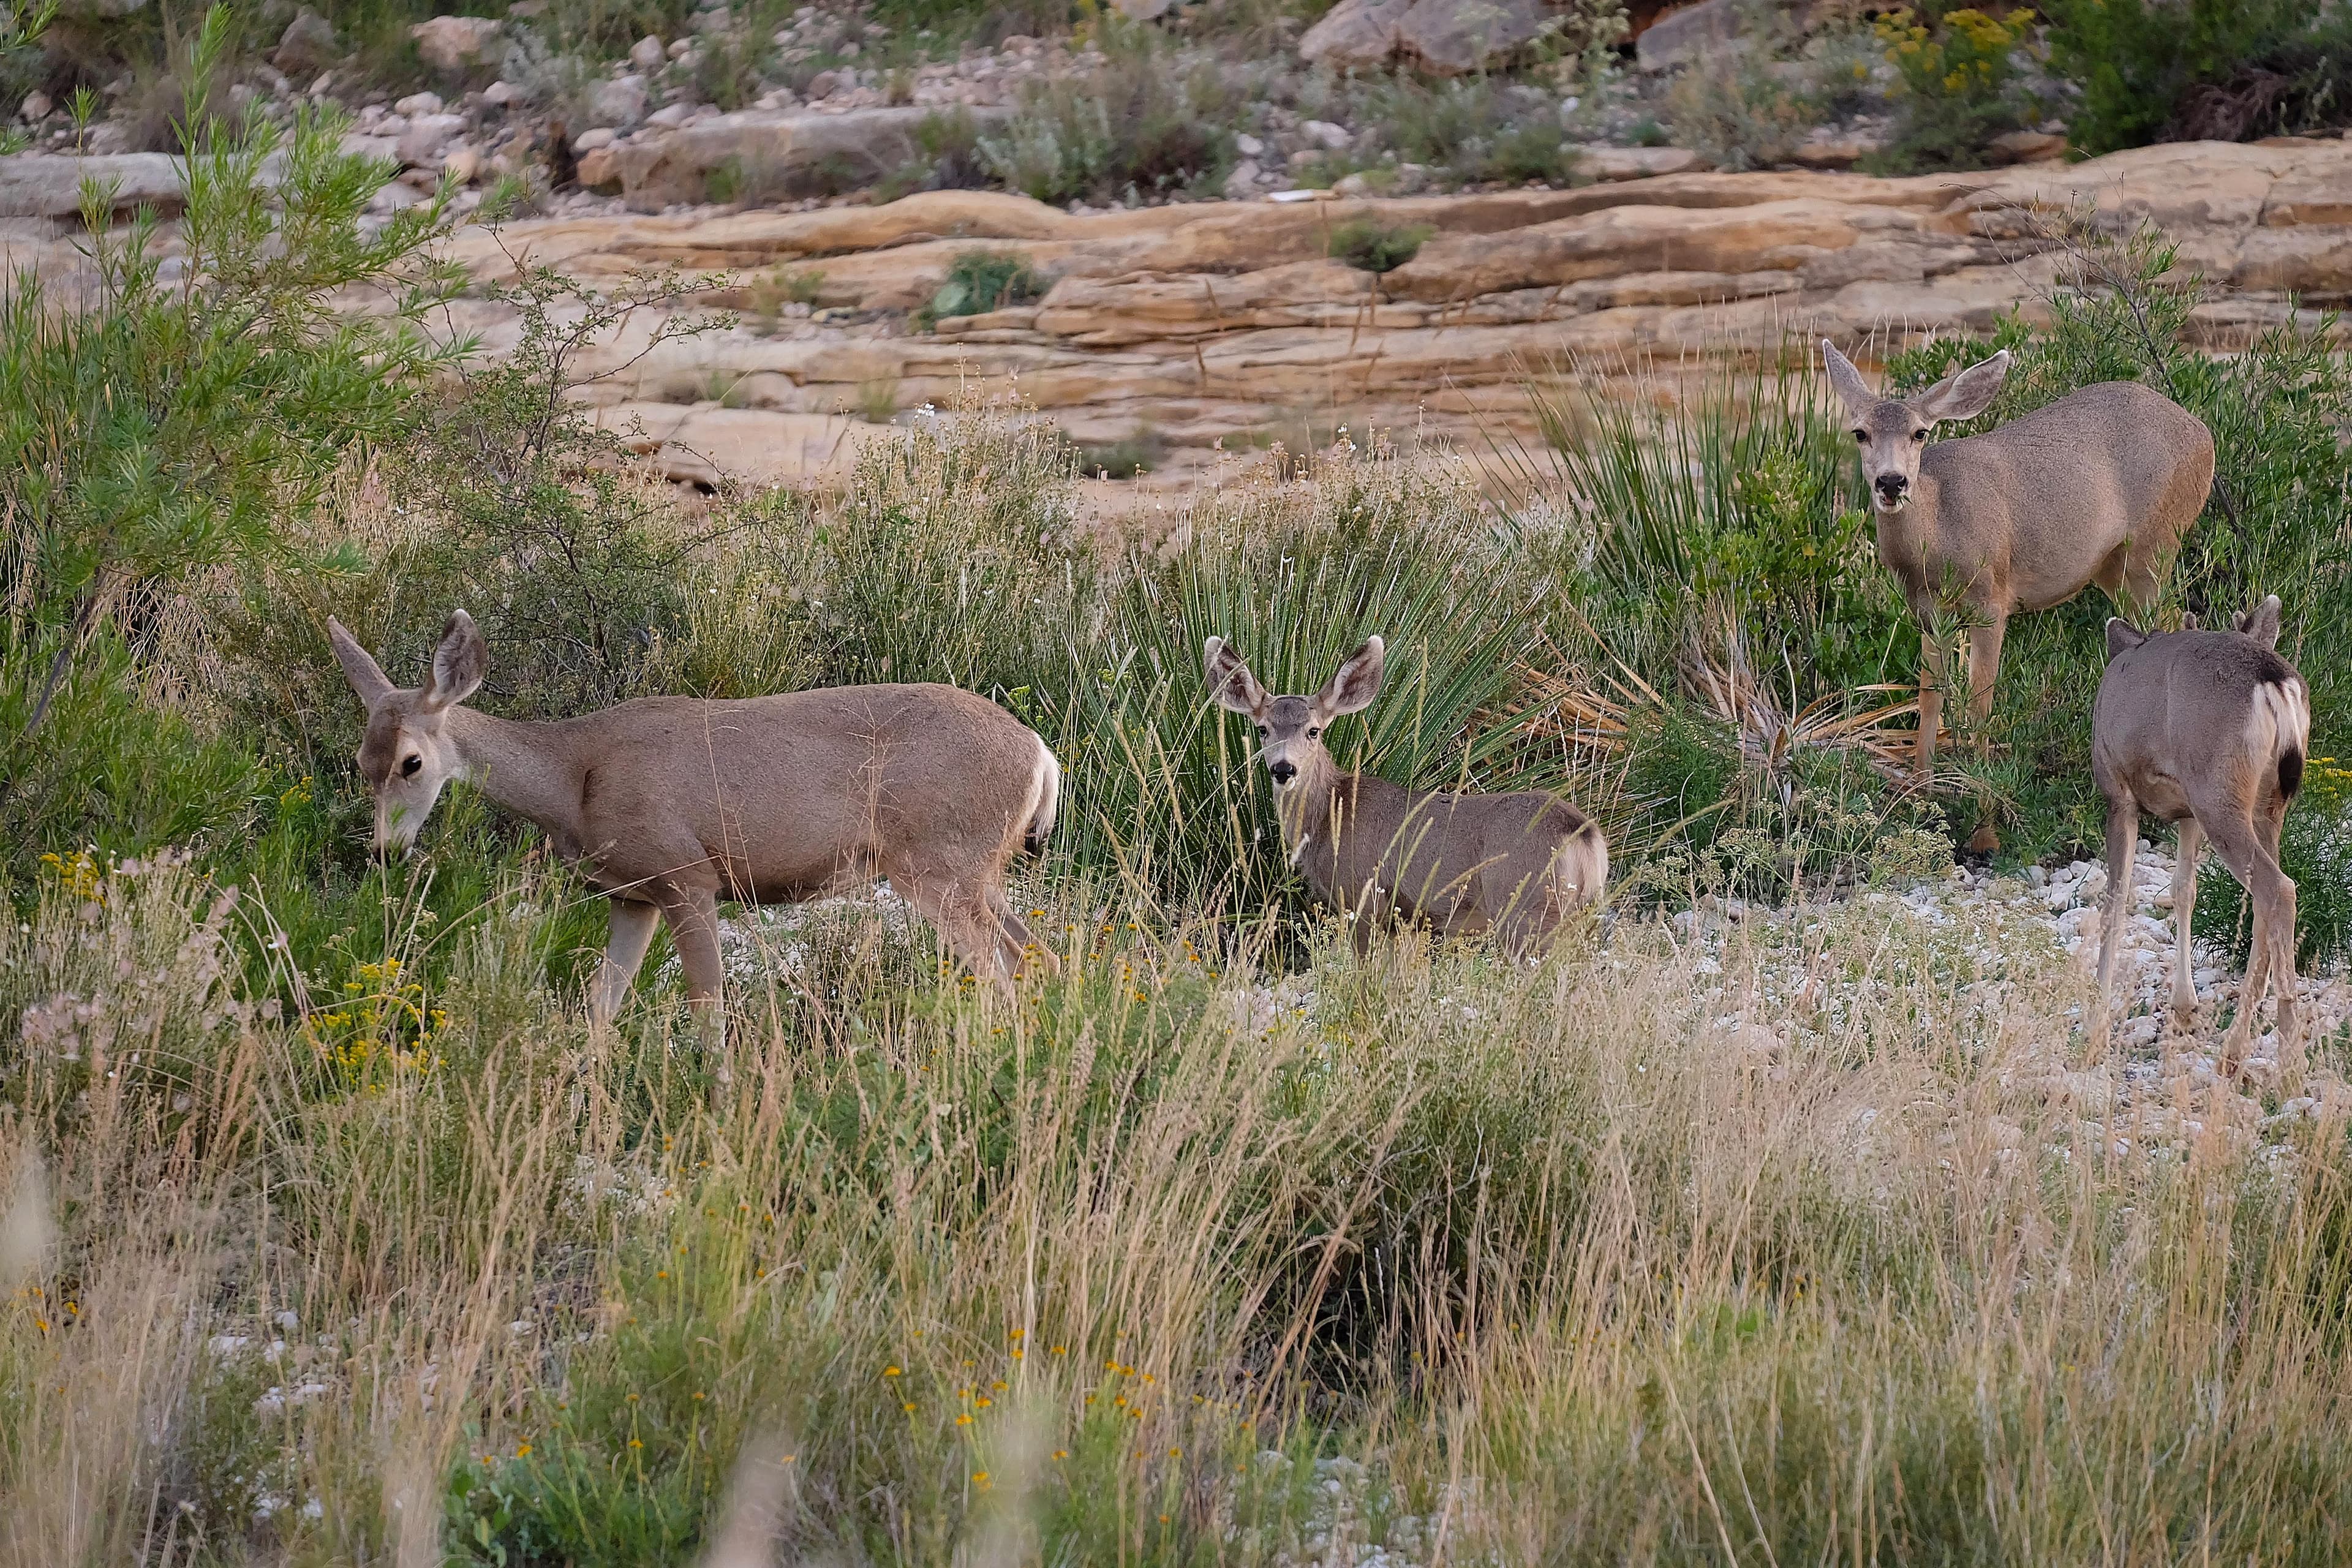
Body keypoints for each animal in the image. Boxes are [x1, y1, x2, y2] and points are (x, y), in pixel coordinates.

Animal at [328, 611, 1062, 1030]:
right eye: (361, 761)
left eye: (412, 762)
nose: (384, 851)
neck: (575, 778)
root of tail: (1042, 754)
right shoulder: (632, 896)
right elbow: (600, 1009)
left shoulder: (688, 875)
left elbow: (706, 1008)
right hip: (978, 872)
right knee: (1040, 956)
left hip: (937, 864)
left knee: (1000, 975)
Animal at [1203, 635, 1607, 956]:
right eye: (1262, 729)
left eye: (1314, 731)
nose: (1284, 769)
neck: (1329, 816)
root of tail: (1583, 834)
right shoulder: (1403, 922)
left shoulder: (1361, 897)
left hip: (1523, 906)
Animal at [1820, 341, 2216, 840]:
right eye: (1860, 433)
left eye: (1919, 433)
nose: (1891, 482)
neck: (1938, 534)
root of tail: (2204, 433)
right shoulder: (1928, 610)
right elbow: (1929, 697)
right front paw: (1921, 796)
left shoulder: (1991, 599)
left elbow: (1980, 705)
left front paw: (1985, 829)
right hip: (2114, 567)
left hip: (2157, 542)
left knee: (2173, 621)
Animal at [2088, 595, 2309, 1078]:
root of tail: (2275, 681)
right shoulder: (2186, 810)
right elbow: (2183, 889)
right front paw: (2184, 1008)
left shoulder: (2118, 793)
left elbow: (2117, 899)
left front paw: (2095, 1029)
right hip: (2264, 806)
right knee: (2264, 901)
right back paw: (2234, 1050)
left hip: (2217, 793)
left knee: (2279, 890)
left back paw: (2288, 1058)